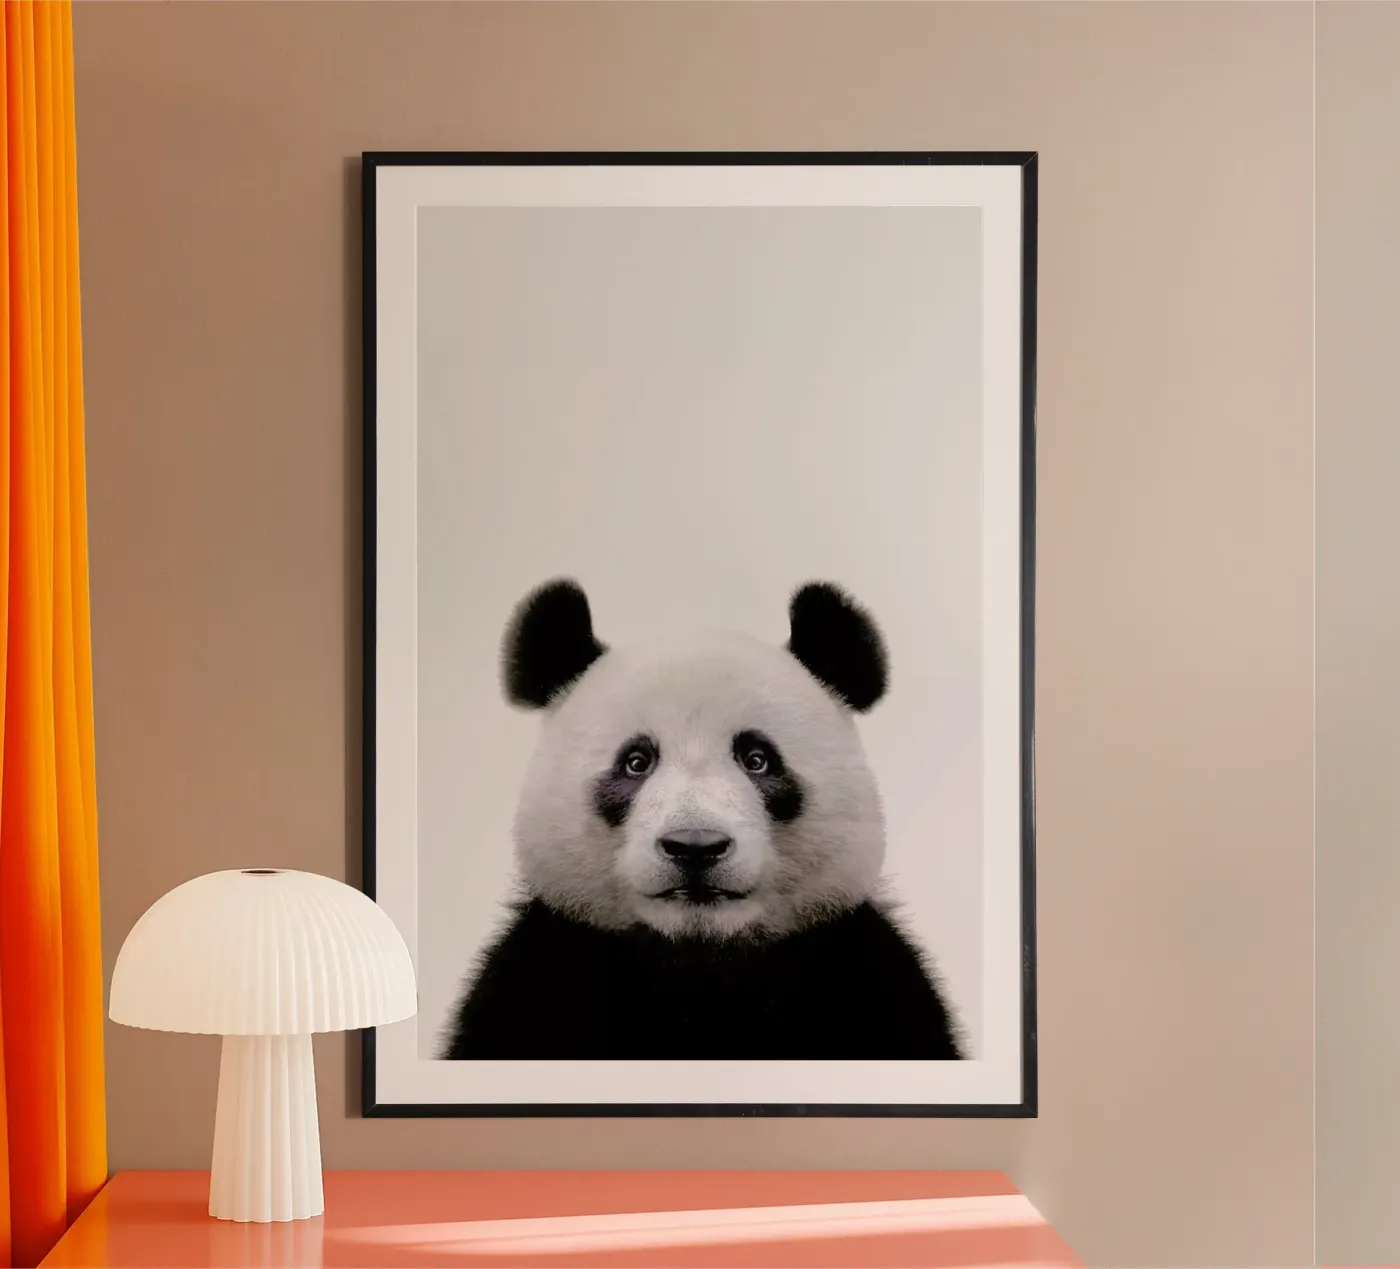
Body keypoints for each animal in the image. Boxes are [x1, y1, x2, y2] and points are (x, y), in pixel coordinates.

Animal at [440, 578, 964, 1062]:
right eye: (636, 762)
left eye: (757, 759)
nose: (695, 845)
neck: (698, 964)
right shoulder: (538, 974)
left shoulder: (865, 977)